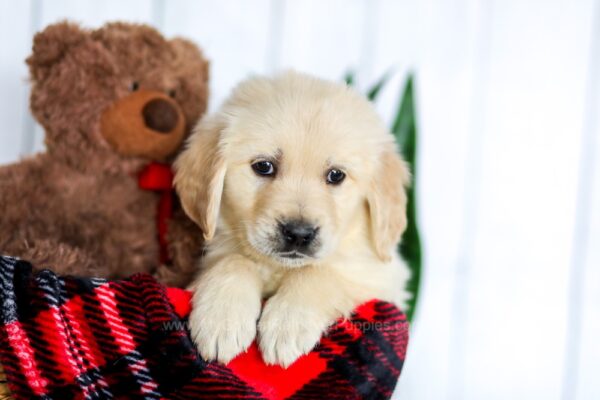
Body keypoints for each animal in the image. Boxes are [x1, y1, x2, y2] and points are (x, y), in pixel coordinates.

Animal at [175, 70, 412, 368]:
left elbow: (320, 271)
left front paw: (288, 323)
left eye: (336, 175)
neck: (279, 268)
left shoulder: (382, 277)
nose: (299, 234)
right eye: (264, 166)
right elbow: (235, 260)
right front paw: (222, 319)